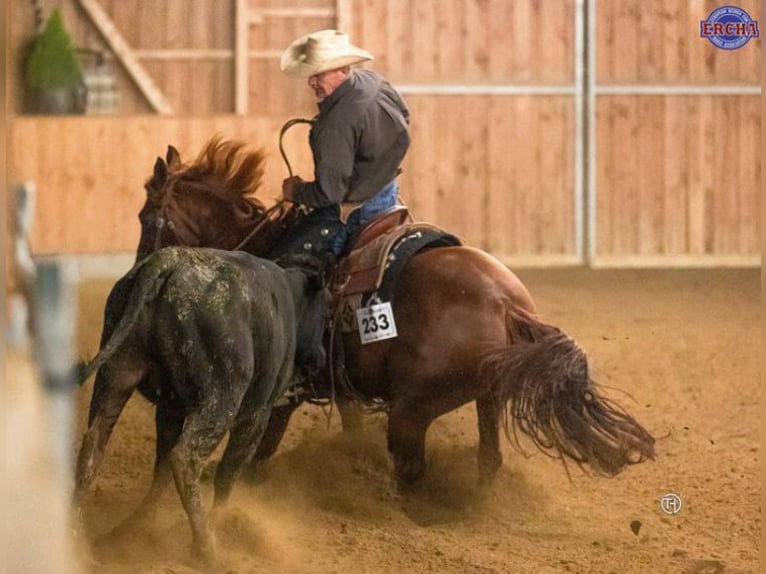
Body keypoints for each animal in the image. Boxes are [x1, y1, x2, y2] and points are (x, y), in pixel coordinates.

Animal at [73, 245, 332, 564]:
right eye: (326, 308)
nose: (321, 356)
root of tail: (168, 262)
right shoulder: (257, 414)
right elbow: (228, 474)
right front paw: (219, 524)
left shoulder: (171, 407)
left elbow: (161, 468)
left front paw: (137, 526)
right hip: (219, 402)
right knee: (186, 458)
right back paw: (207, 547)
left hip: (116, 375)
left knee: (94, 445)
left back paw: (76, 537)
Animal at [138, 138, 656, 490]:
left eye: (145, 218)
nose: (141, 265)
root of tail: (507, 304)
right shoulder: (342, 385)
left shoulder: (282, 395)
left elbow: (259, 452)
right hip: (485, 396)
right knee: (487, 460)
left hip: (412, 411)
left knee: (411, 467)